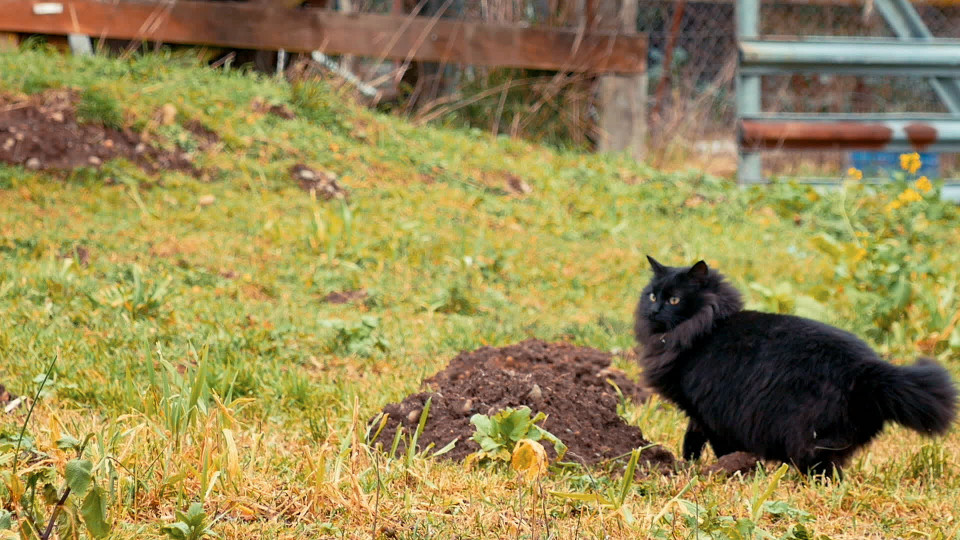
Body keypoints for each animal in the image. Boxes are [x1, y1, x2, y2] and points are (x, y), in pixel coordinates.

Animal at [632, 258, 956, 476]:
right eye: (652, 295)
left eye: (674, 300)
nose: (654, 311)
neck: (705, 329)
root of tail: (869, 369)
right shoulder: (698, 412)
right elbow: (692, 439)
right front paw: (689, 464)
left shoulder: (711, 411)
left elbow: (715, 444)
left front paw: (723, 468)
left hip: (808, 437)